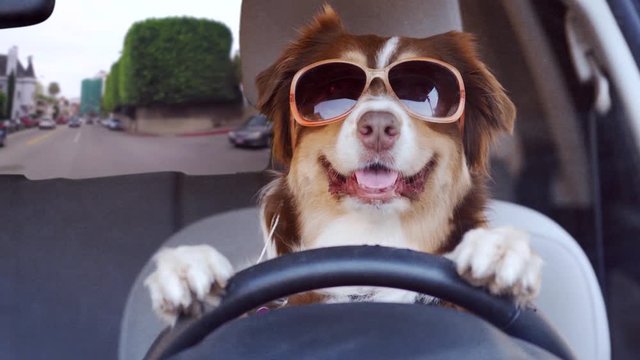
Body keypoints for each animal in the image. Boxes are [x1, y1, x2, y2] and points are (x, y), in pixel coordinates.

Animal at [145, 3, 540, 324]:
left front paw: (500, 252)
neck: (366, 246)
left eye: (426, 93)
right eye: (332, 90)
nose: (378, 127)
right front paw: (187, 269)